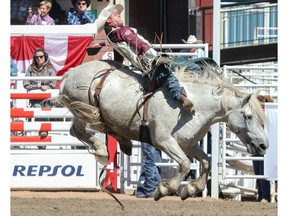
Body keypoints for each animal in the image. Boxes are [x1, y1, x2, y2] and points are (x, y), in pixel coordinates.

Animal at [57, 58, 268, 201]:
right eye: (248, 116)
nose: (263, 145)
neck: (193, 105)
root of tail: (72, 72)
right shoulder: (164, 141)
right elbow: (185, 164)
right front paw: (165, 189)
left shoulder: (189, 144)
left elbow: (206, 162)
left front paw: (190, 189)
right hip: (82, 107)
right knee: (78, 131)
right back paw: (101, 151)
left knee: (86, 129)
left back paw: (123, 143)